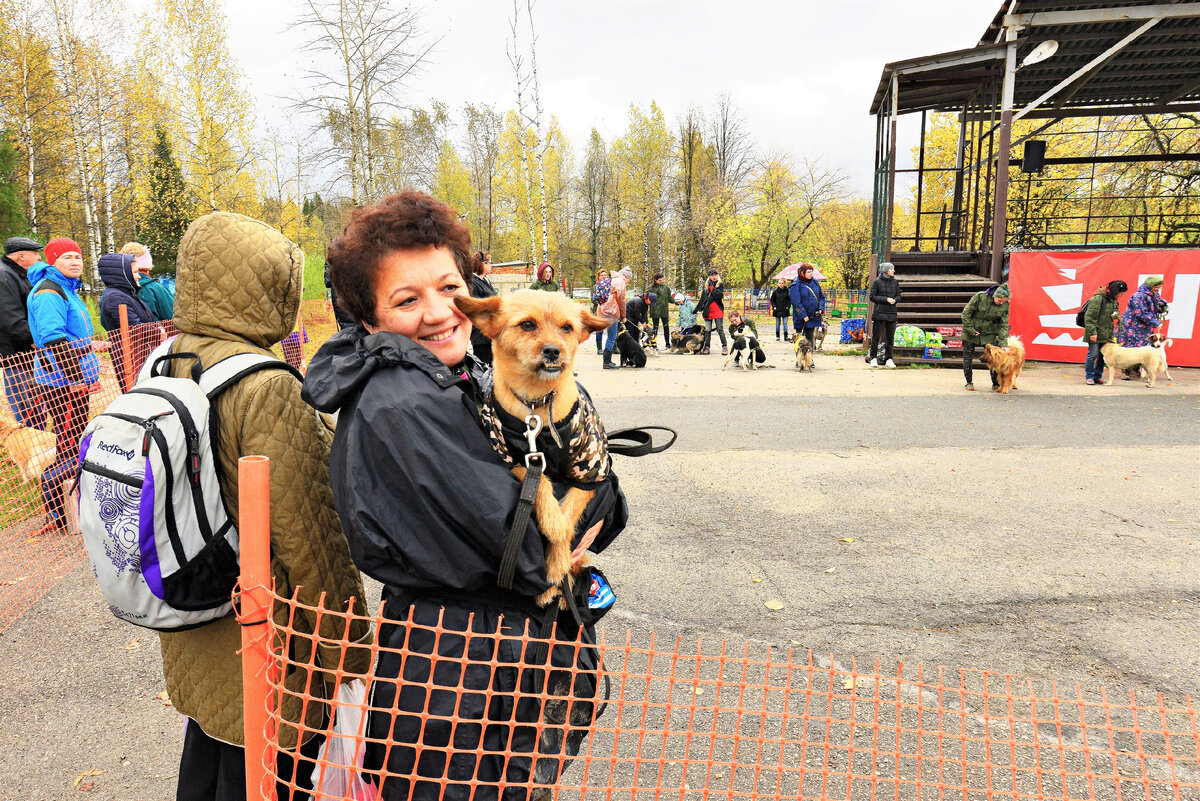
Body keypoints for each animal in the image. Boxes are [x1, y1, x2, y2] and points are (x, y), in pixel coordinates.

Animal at [453, 291, 614, 604]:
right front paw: (551, 521)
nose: (553, 351)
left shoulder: (591, 470)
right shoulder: (513, 459)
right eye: (527, 324)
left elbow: (570, 513)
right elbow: (540, 485)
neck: (536, 406)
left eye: (567, 328)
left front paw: (557, 559)